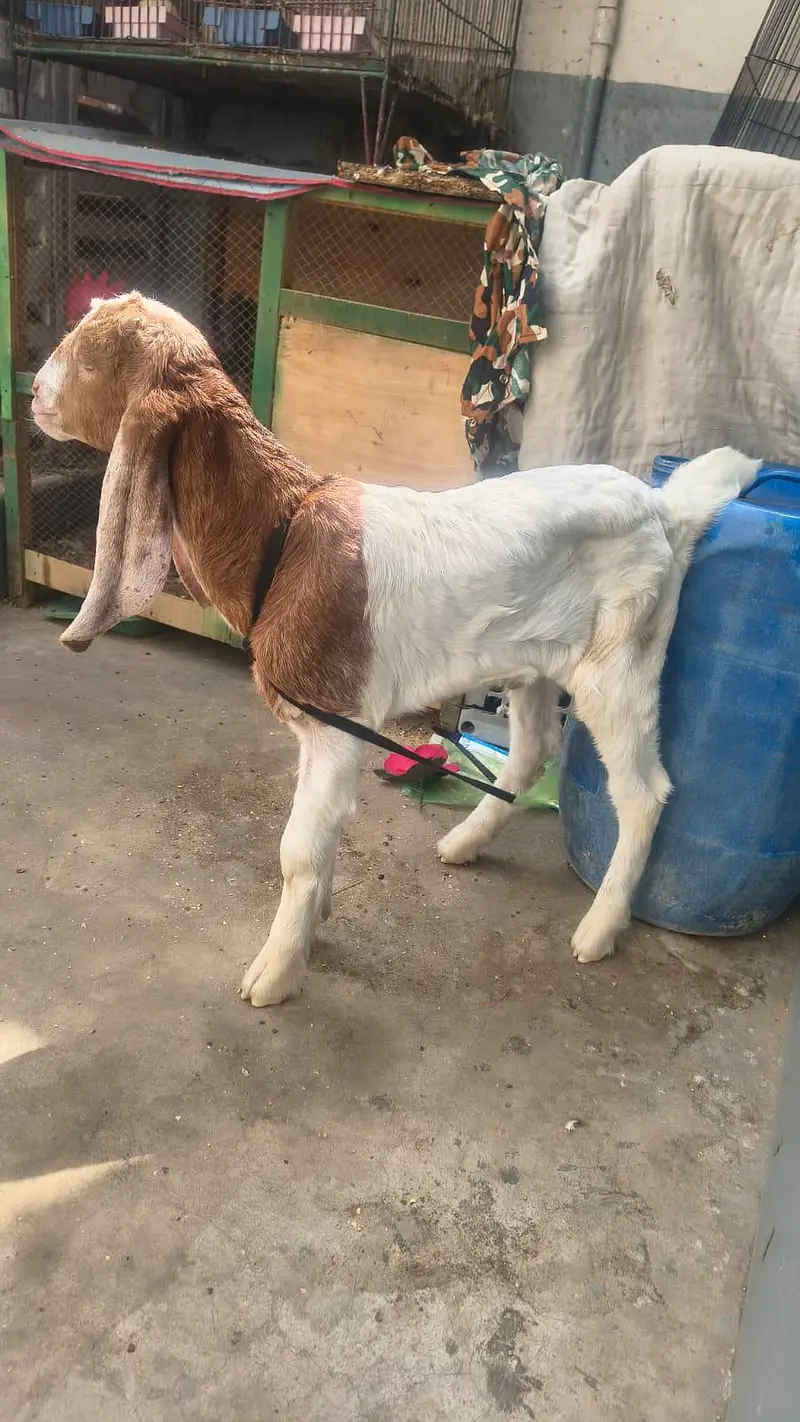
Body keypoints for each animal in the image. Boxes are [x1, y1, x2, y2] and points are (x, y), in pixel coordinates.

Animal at [32, 293, 759, 1007]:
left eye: (91, 359)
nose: (35, 390)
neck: (283, 532)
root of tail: (663, 511)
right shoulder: (325, 724)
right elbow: (322, 838)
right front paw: (312, 926)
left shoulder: (335, 721)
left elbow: (298, 849)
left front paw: (276, 971)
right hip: (534, 660)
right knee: (532, 749)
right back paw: (465, 842)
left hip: (623, 662)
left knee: (644, 792)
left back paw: (600, 927)